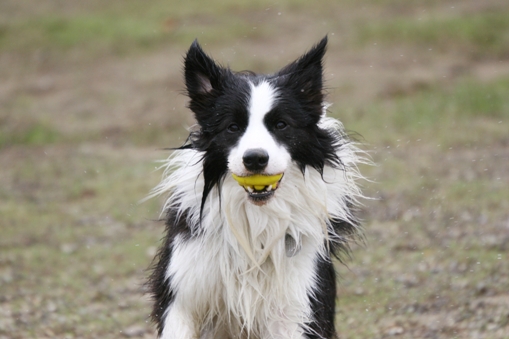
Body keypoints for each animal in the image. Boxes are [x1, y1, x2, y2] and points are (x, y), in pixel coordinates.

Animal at [147, 37, 366, 339]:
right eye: (232, 127)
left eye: (281, 124)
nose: (255, 159)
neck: (255, 219)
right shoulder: (182, 293)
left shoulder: (295, 306)